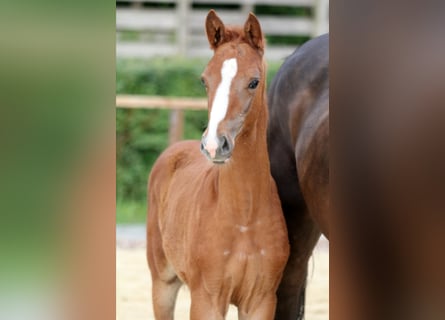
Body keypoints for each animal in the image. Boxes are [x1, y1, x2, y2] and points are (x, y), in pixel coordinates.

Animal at [147, 10, 290, 320]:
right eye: (204, 80)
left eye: (254, 82)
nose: (214, 145)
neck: (244, 216)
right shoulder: (207, 299)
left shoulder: (260, 301)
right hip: (162, 282)